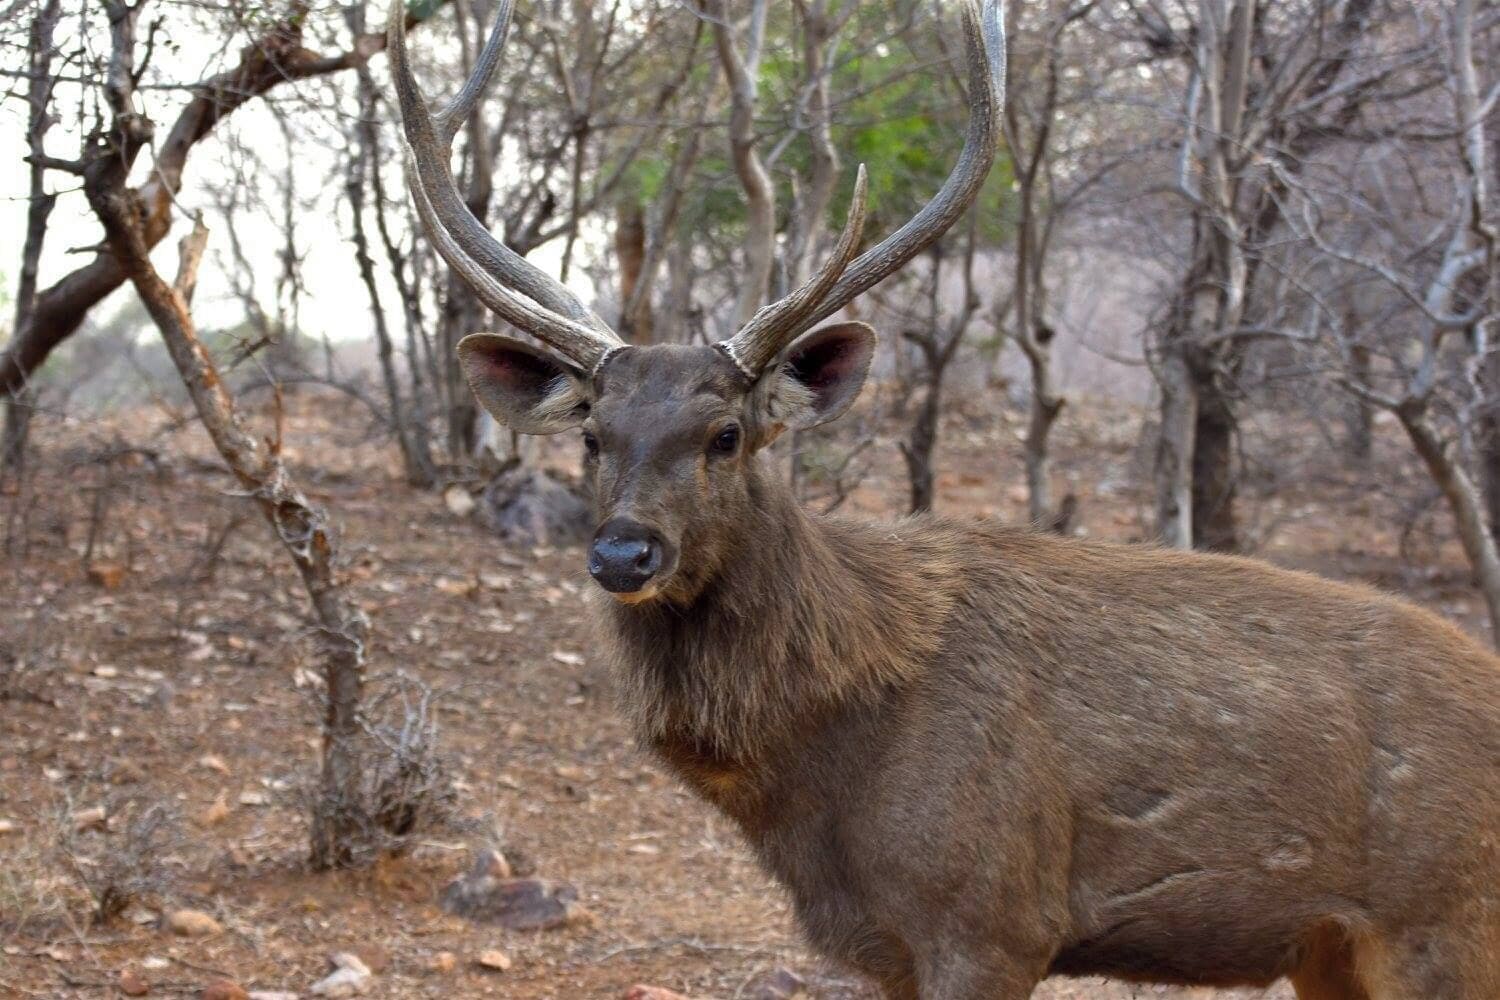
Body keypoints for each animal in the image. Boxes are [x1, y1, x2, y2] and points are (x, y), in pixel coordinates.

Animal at [386, 1, 1500, 997]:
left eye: (727, 433)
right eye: (592, 436)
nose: (624, 554)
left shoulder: (991, 914)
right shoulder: (890, 946)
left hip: (1444, 921)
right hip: (1333, 949)